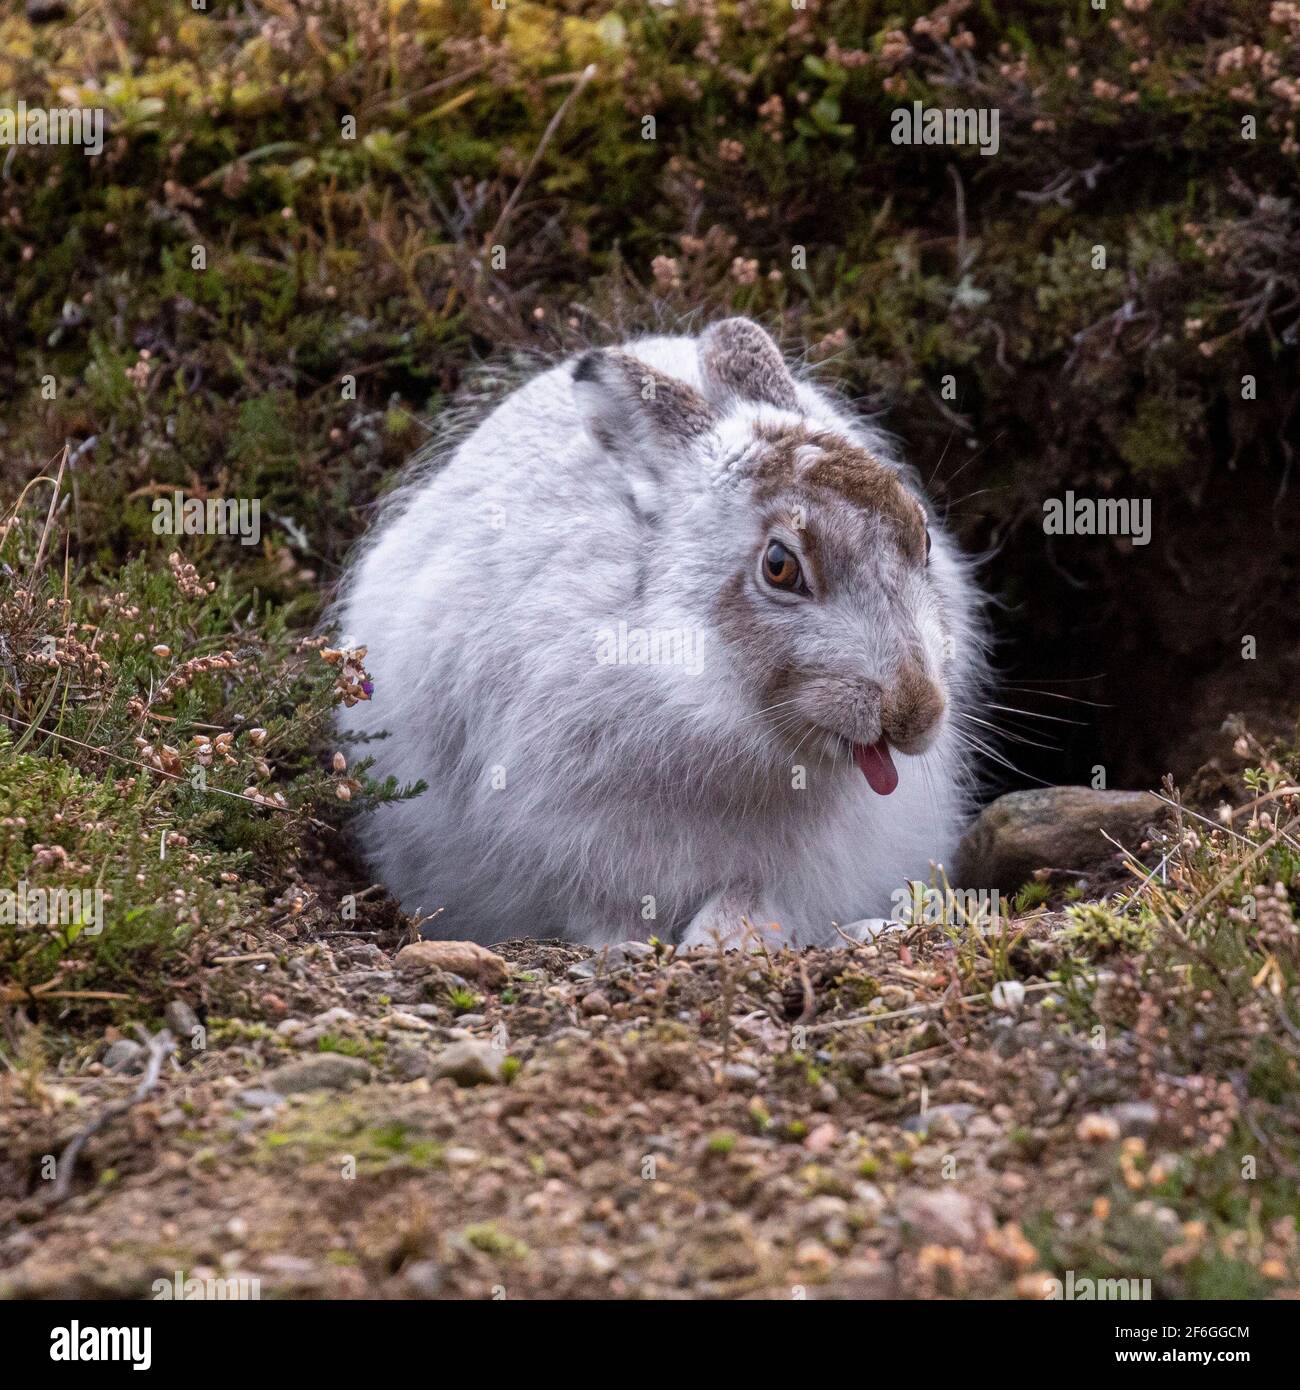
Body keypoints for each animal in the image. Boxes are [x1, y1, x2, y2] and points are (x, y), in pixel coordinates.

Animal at [333, 318, 989, 948]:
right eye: (779, 565)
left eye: (923, 538)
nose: (915, 711)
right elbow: (598, 909)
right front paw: (627, 948)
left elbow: (752, 894)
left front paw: (726, 936)